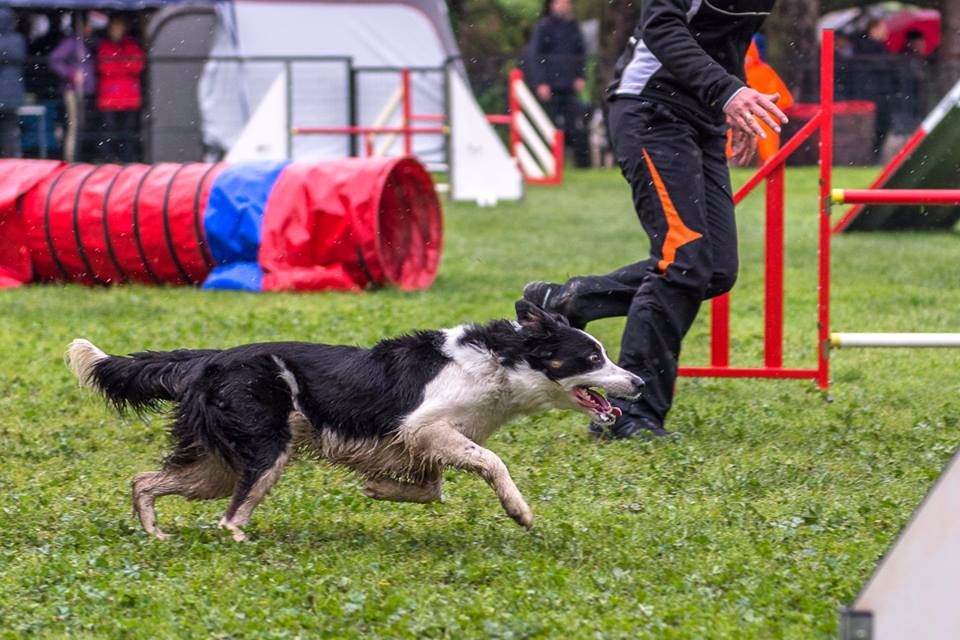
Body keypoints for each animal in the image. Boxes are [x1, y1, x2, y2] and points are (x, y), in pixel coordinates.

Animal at [65, 302, 636, 544]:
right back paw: (242, 544)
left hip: (218, 467)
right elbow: (491, 463)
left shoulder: (423, 444)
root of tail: (209, 359)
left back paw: (156, 534)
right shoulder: (425, 428)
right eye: (592, 357)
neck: (500, 362)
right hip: (264, 452)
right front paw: (519, 511)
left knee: (144, 480)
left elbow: (430, 489)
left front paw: (378, 487)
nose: (638, 382)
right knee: (227, 519)